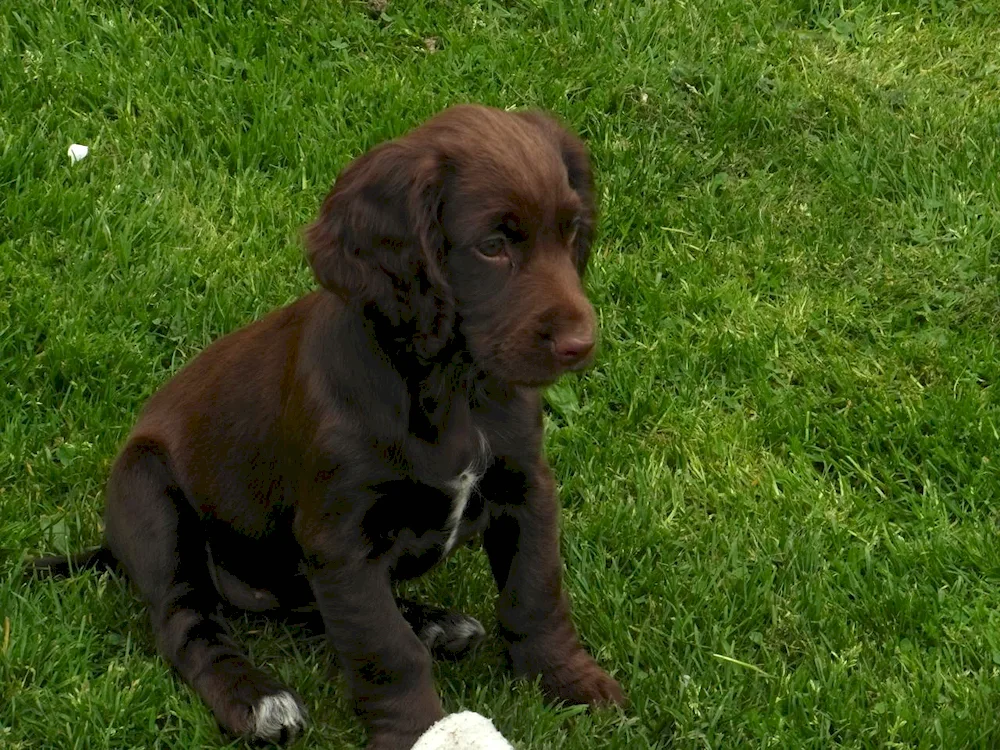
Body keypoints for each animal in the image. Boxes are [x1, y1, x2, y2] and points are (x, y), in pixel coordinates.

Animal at [33, 106, 624, 750]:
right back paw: (254, 698)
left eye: (571, 231)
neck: (452, 389)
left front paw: (569, 682)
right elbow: (385, 650)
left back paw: (434, 623)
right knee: (188, 622)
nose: (581, 344)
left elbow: (534, 593)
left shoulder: (525, 487)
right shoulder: (340, 539)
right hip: (151, 497)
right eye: (492, 246)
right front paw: (418, 730)